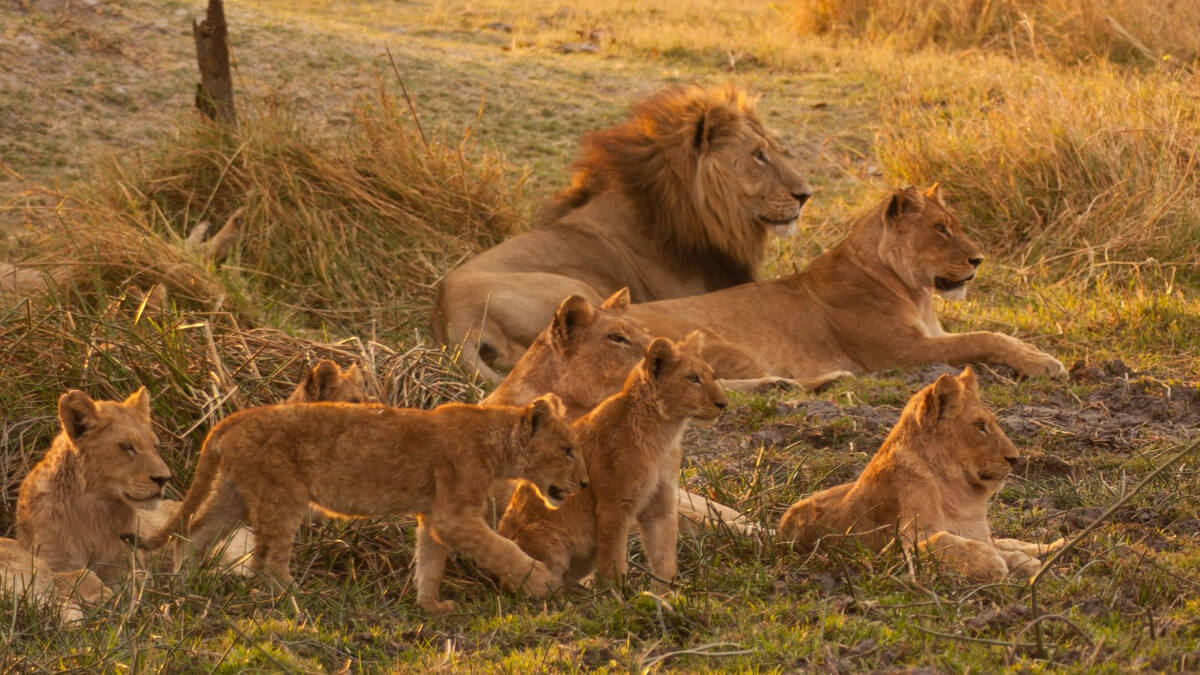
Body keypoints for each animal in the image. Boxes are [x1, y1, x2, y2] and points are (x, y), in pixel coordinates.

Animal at [16, 388, 172, 586]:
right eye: (127, 447)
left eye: (155, 446)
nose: (164, 478)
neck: (96, 512)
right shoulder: (50, 562)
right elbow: (81, 577)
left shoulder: (124, 567)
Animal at [139, 394, 587, 614]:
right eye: (567, 449)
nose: (584, 483)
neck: (498, 443)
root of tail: (232, 419)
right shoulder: (455, 516)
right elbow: (501, 548)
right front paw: (541, 581)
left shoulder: (436, 515)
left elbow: (430, 561)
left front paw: (431, 606)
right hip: (283, 494)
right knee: (265, 561)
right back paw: (303, 597)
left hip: (233, 495)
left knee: (192, 538)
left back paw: (184, 587)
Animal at [499, 333, 728, 590]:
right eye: (693, 378)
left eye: (712, 375)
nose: (724, 404)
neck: (664, 434)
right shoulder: (614, 505)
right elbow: (613, 559)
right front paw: (619, 594)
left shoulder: (660, 504)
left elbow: (664, 554)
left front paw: (665, 593)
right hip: (546, 537)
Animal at [627, 185, 1067, 381]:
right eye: (940, 229)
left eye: (953, 226)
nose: (979, 259)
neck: (916, 293)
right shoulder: (900, 351)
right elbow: (983, 338)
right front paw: (1045, 364)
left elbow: (996, 334)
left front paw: (1035, 351)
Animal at [777, 367, 1062, 581]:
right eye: (980, 426)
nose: (1015, 458)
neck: (962, 492)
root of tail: (781, 525)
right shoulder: (902, 544)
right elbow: (944, 541)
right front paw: (992, 562)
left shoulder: (978, 532)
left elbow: (1002, 545)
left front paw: (1024, 562)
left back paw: (1056, 546)